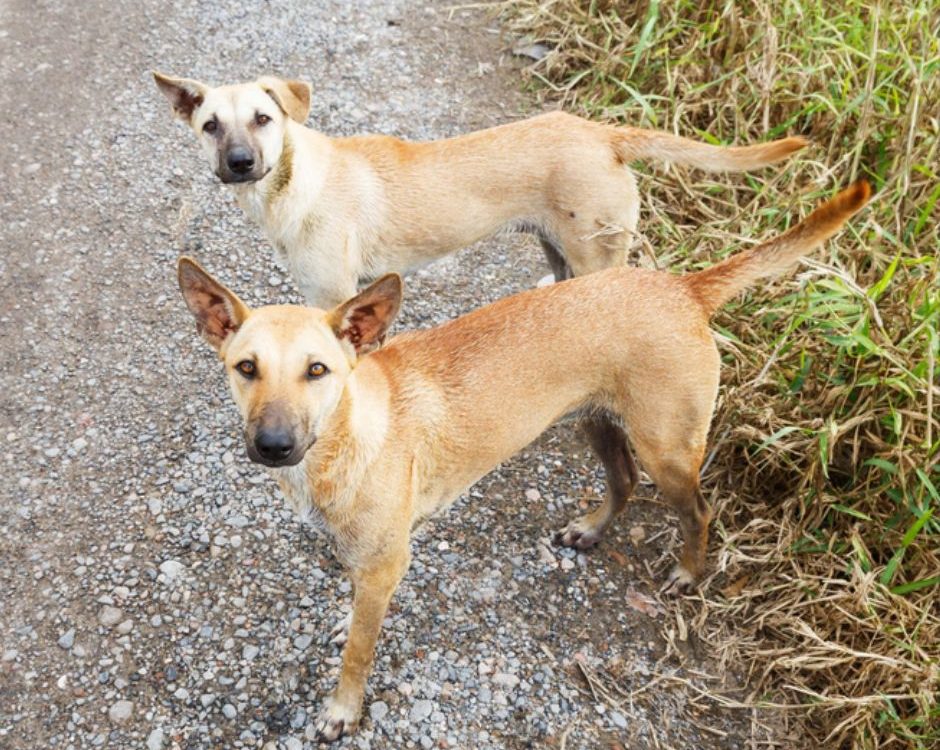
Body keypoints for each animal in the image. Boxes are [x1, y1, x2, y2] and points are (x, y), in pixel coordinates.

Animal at [154, 72, 808, 307]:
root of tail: (602, 132)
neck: (295, 181)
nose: (240, 163)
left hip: (596, 254)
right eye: (210, 125)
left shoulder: (335, 296)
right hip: (559, 248)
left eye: (264, 118)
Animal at [177, 180, 870, 740]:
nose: (273, 446)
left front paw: (342, 712)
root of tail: (680, 286)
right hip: (598, 421)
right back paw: (591, 529)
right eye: (246, 368)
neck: (347, 433)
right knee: (622, 481)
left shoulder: (385, 568)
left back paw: (687, 572)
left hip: (667, 449)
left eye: (317, 371)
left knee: (698, 508)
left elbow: (357, 653)